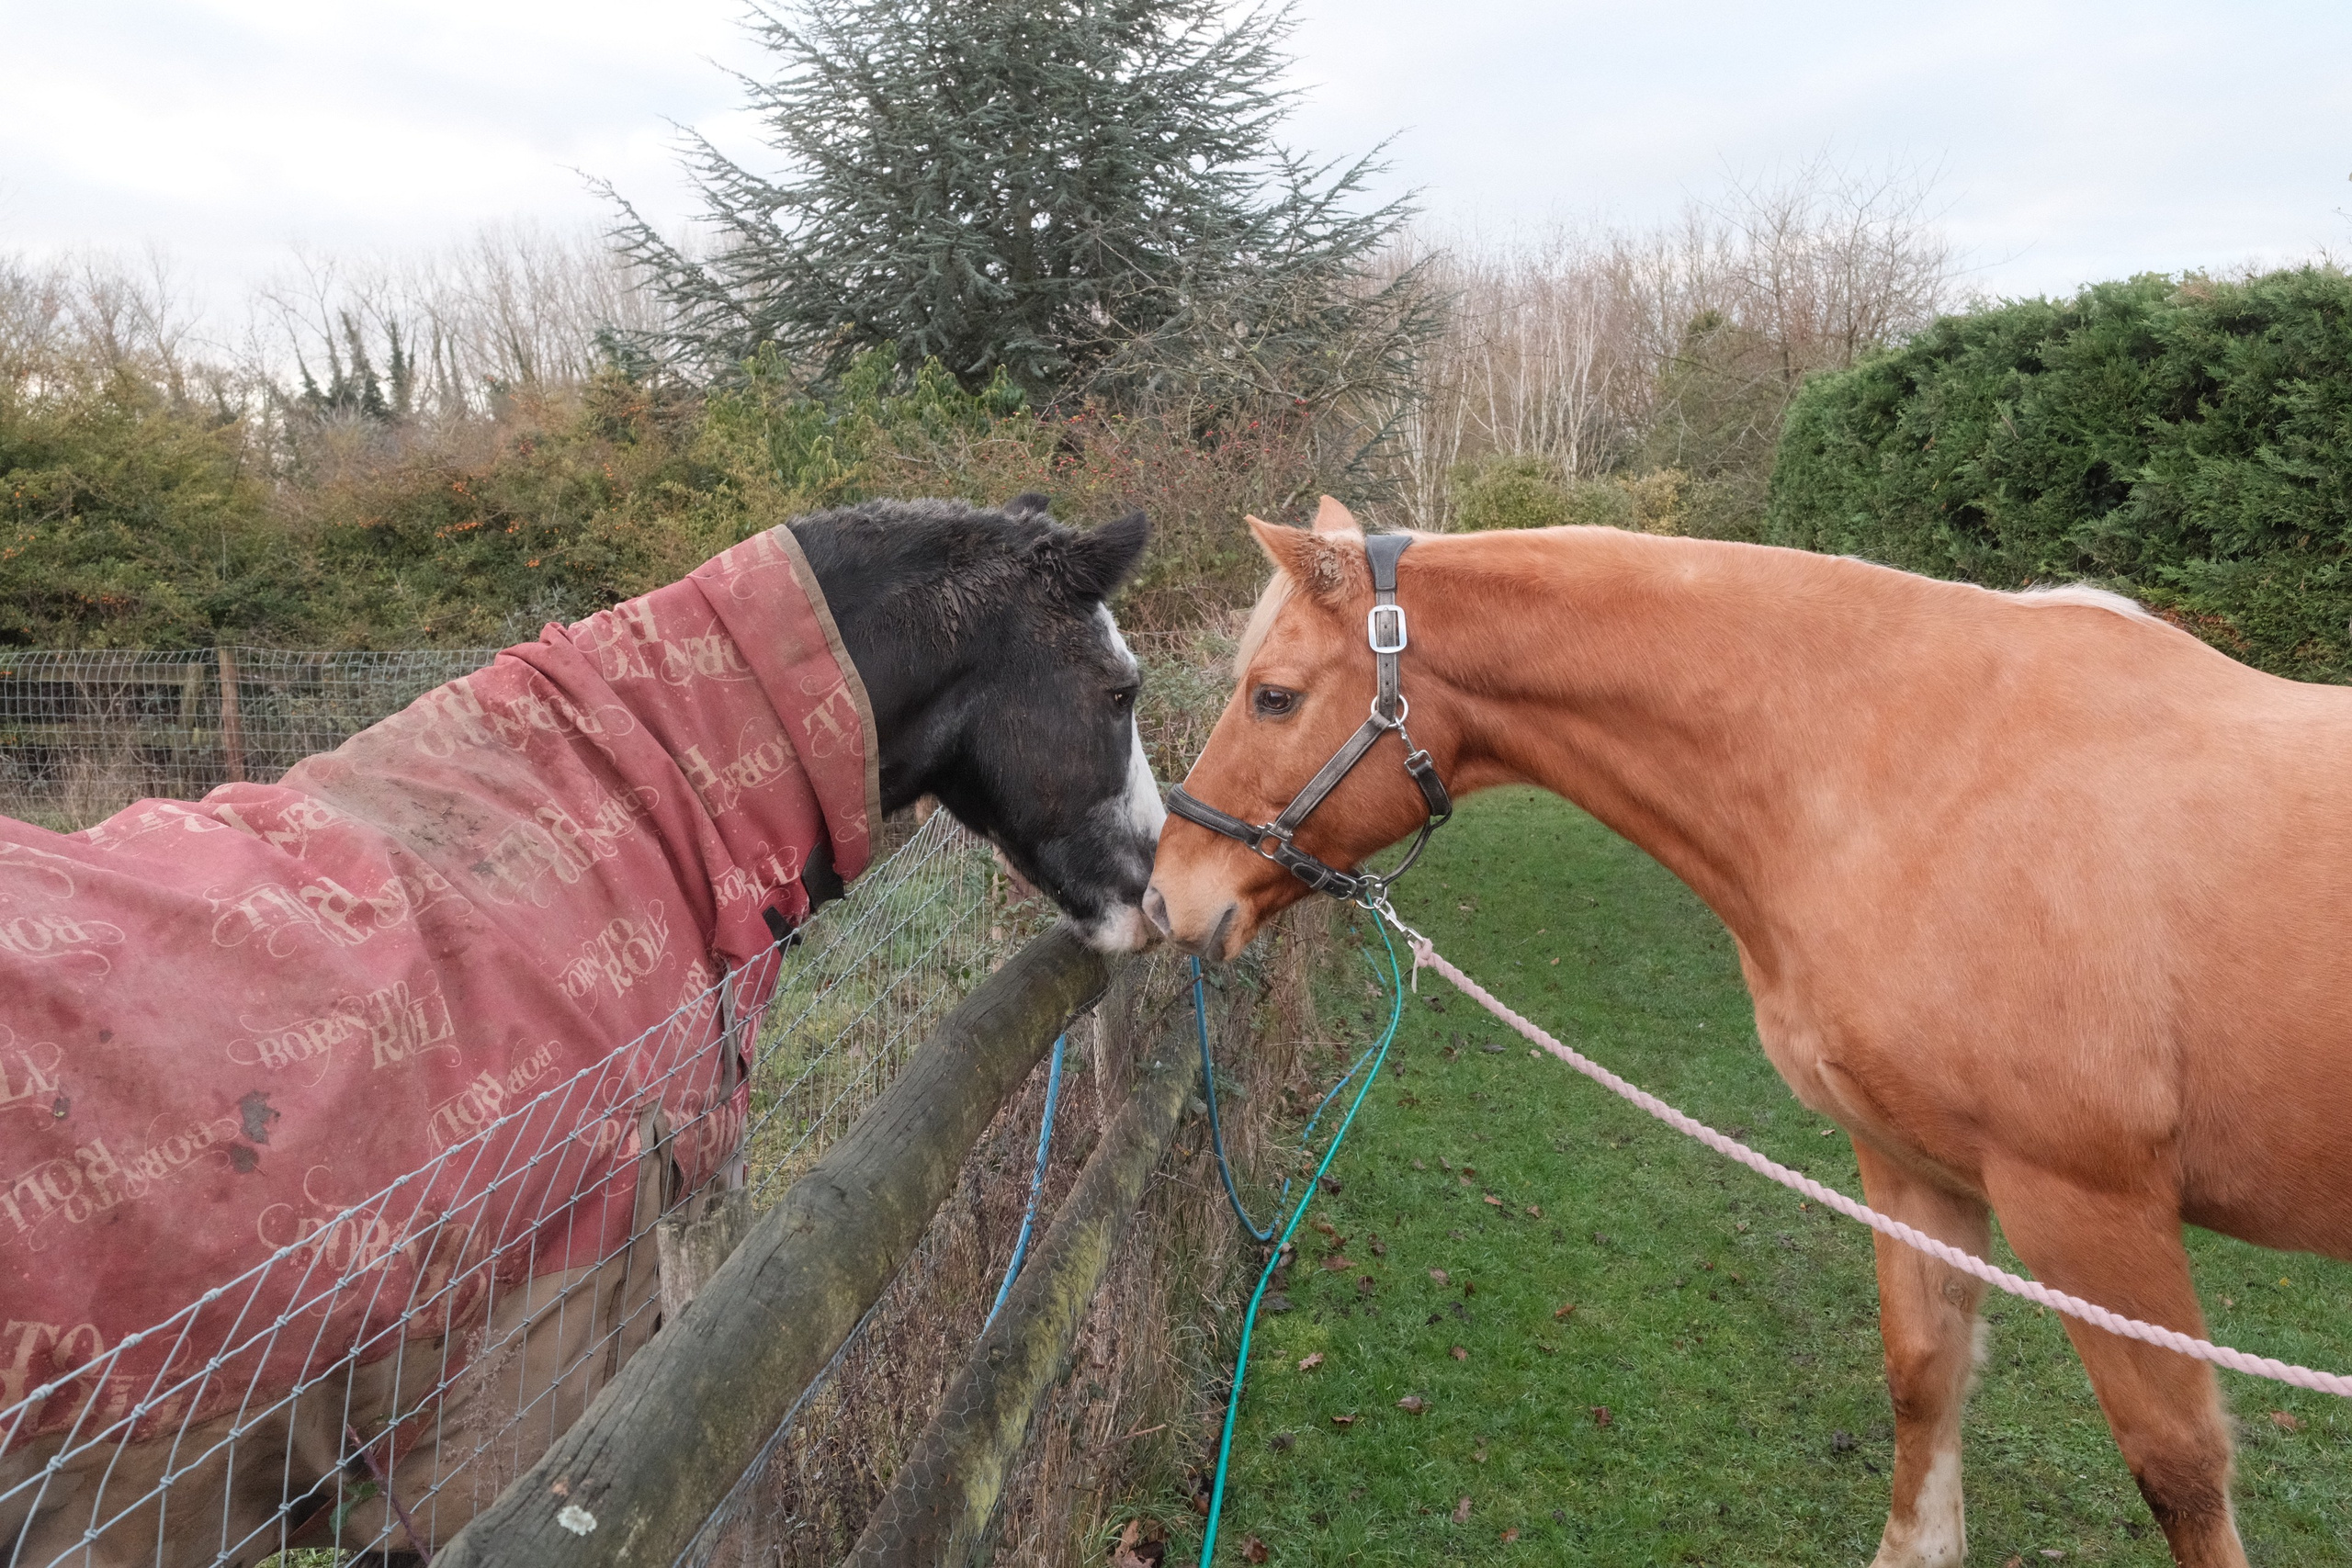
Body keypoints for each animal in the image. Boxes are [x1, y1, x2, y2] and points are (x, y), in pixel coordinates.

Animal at [1144, 497, 2352, 1568]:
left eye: (1273, 697)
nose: (1166, 896)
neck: (1913, 775)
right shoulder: (1912, 1168)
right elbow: (1922, 1377)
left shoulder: (2091, 1212)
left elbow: (2178, 1470)